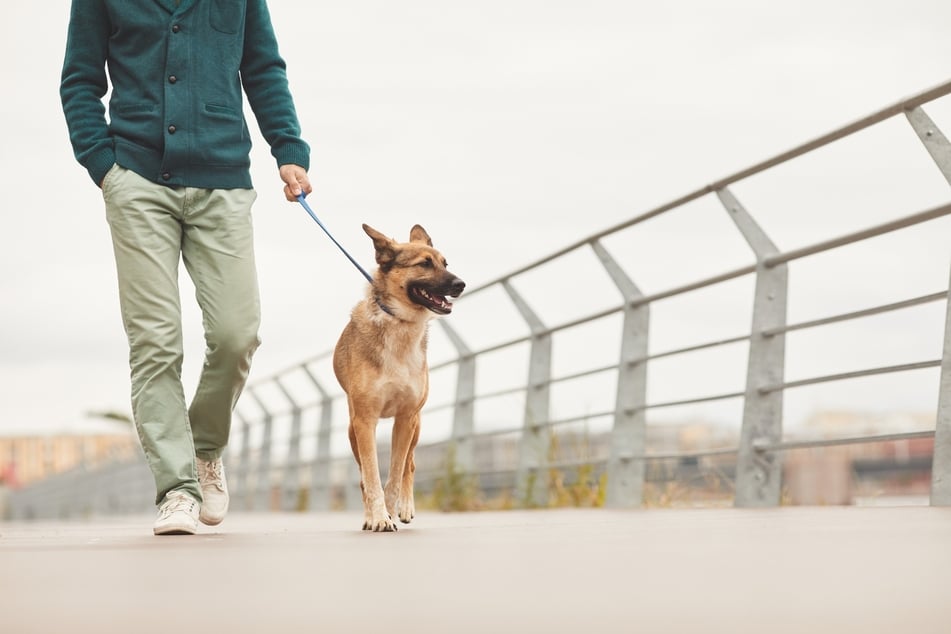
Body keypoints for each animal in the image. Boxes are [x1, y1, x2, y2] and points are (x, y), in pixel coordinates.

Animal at [332, 222, 466, 528]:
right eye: (424, 264)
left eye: (445, 263)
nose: (461, 284)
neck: (400, 323)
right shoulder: (364, 422)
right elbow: (371, 476)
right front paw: (379, 518)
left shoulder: (406, 418)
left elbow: (395, 473)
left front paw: (392, 511)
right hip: (352, 431)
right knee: (364, 476)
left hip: (415, 426)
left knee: (410, 465)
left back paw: (404, 508)